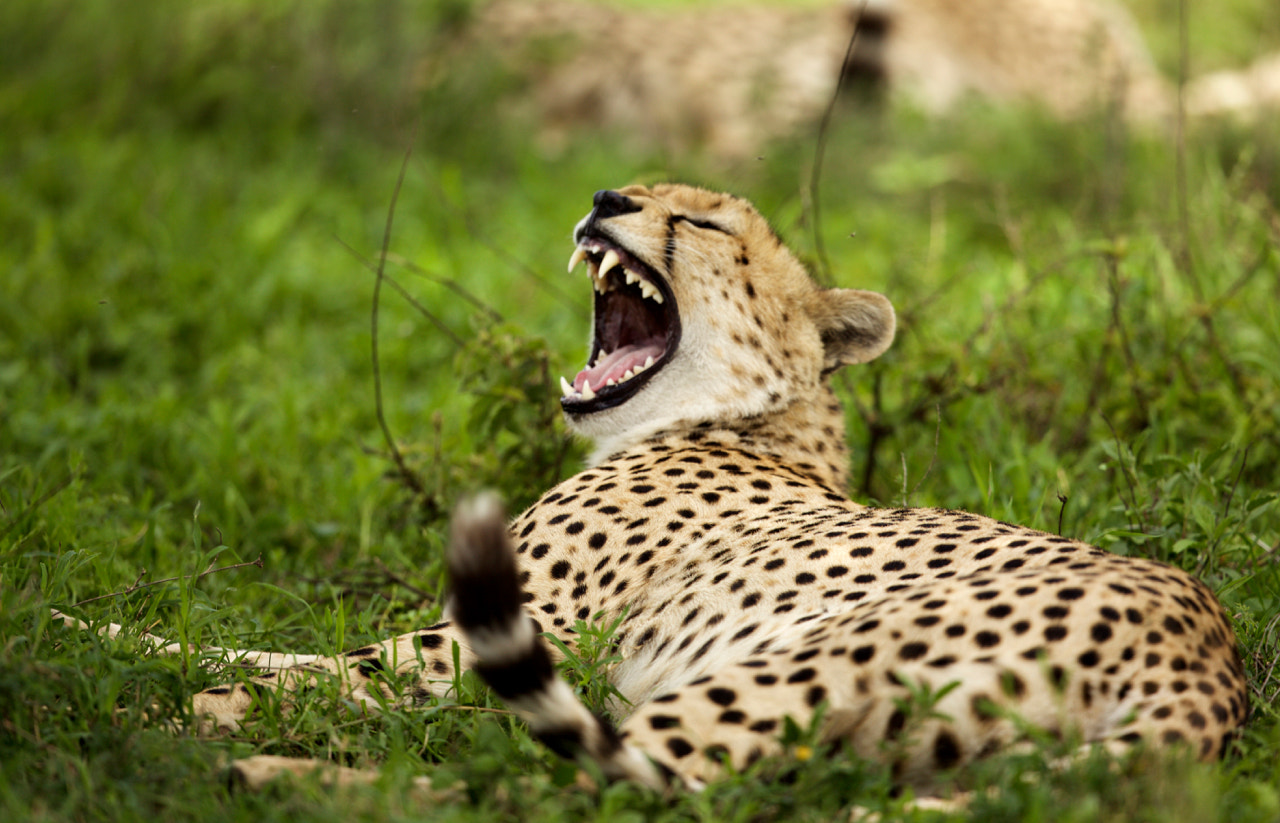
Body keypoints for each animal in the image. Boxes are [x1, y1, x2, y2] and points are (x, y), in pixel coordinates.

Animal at [69, 182, 1247, 796]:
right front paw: (84, 629)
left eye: (707, 223)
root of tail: (1213, 659)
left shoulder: (483, 640)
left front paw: (171, 692)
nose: (607, 199)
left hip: (775, 670)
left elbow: (303, 667)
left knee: (536, 785)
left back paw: (257, 765)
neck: (741, 424)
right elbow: (252, 646)